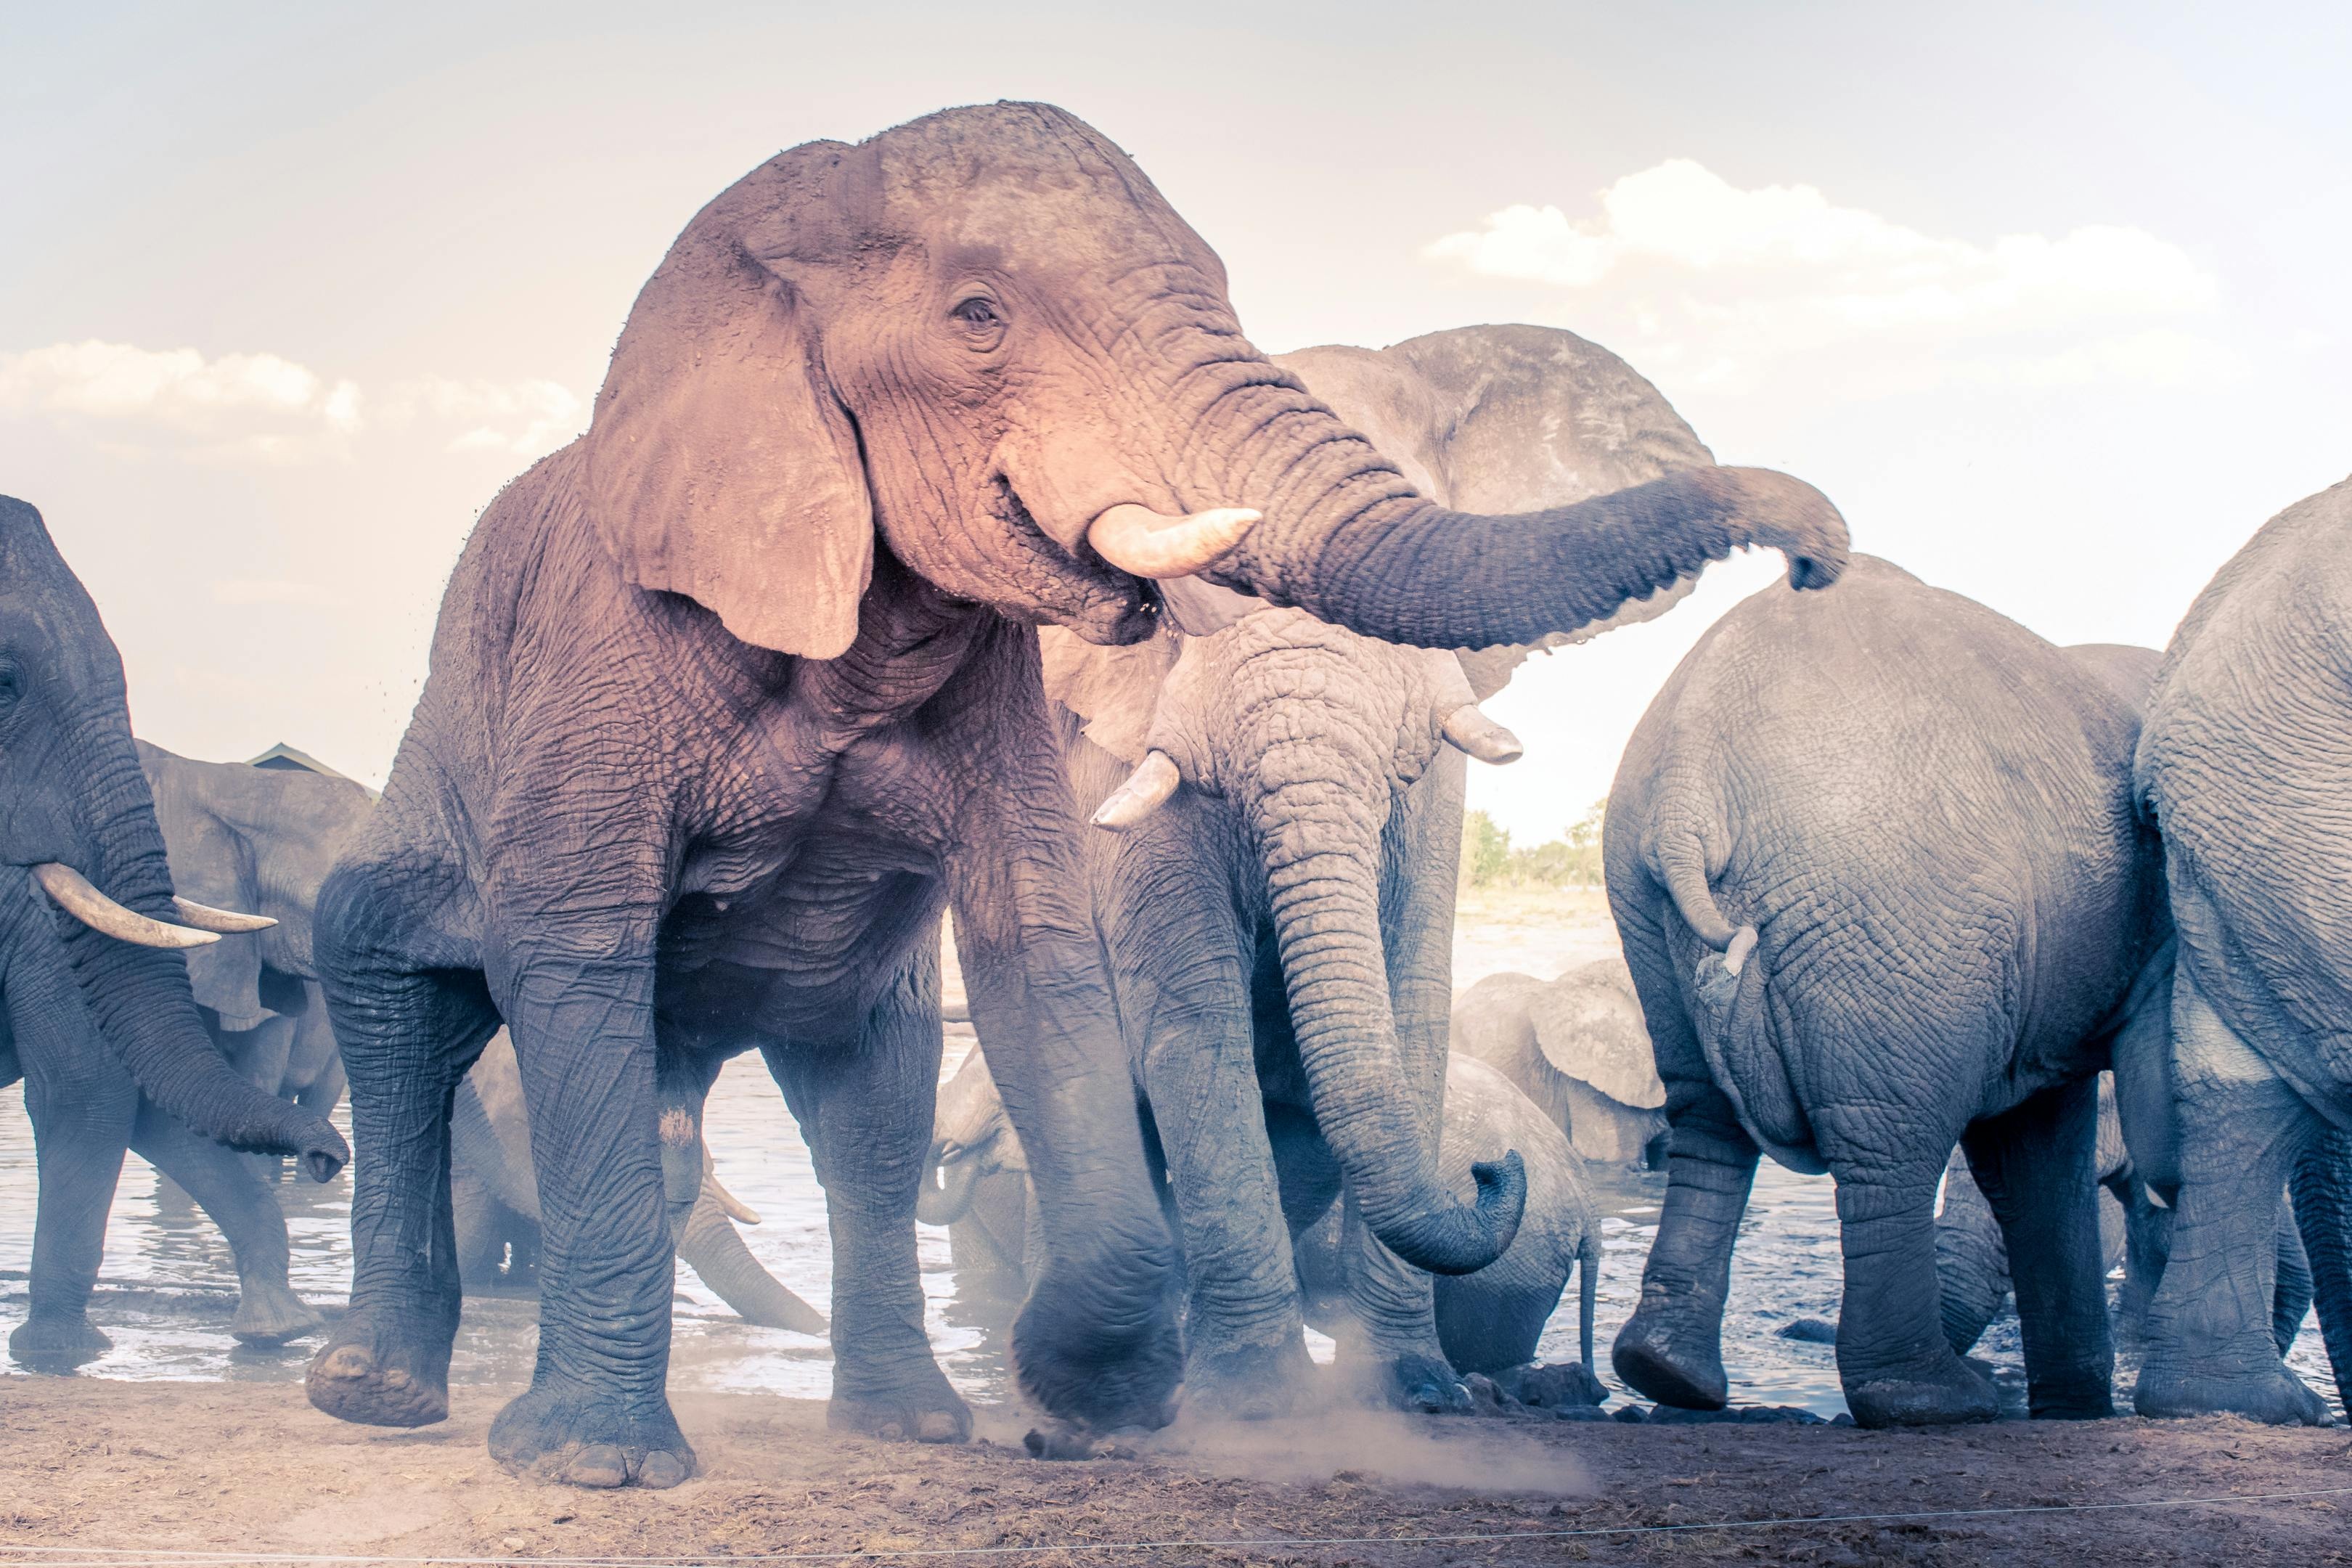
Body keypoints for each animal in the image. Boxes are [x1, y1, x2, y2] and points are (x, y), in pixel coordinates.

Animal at [0, 495, 348, 1367]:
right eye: (5, 682)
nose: (327, 1158)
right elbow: (92, 1083)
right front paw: (61, 1356)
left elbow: (146, 1097)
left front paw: (280, 1330)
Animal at [1605, 556, 2168, 1428]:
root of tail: (1690, 780)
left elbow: (2039, 1145)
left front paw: (2075, 1407)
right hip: (1896, 907)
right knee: (1892, 1136)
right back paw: (1932, 1399)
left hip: (1645, 897)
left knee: (1705, 1114)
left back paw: (1667, 1372)